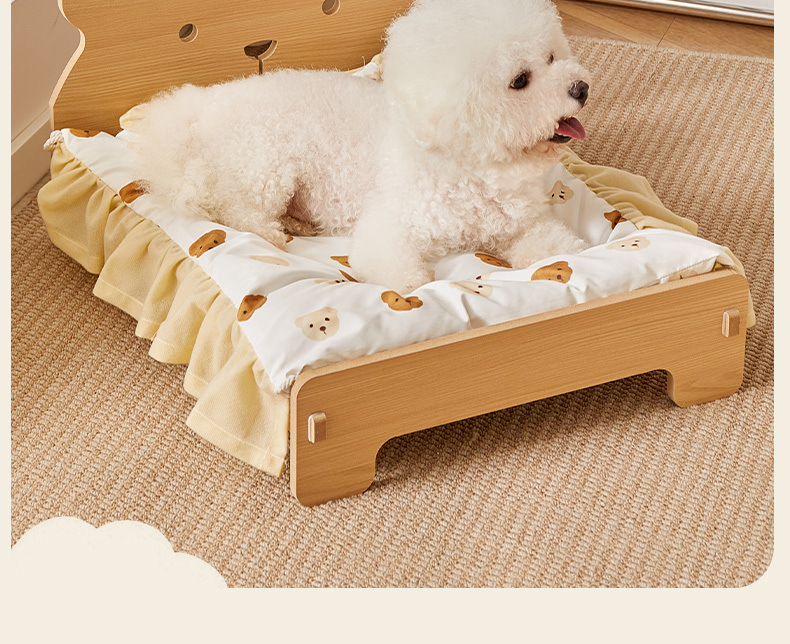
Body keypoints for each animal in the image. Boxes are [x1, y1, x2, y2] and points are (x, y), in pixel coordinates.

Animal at [133, 0, 590, 293]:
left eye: (552, 57)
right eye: (520, 80)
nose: (581, 88)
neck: (471, 170)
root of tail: (204, 106)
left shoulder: (520, 226)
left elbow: (556, 246)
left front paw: (577, 256)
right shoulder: (389, 228)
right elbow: (398, 270)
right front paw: (415, 288)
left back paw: (300, 224)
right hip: (267, 164)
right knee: (237, 209)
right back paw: (271, 232)